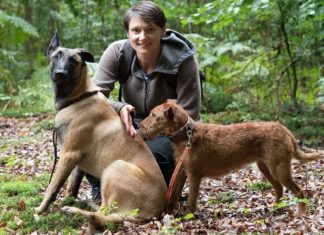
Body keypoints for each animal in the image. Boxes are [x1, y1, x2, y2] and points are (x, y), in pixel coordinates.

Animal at [36, 32, 167, 226]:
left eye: (73, 61)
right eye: (56, 56)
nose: (60, 74)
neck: (78, 97)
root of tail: (153, 212)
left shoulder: (69, 154)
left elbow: (52, 186)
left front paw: (40, 210)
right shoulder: (76, 160)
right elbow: (71, 186)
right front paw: (69, 199)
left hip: (114, 168)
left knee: (103, 214)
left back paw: (75, 210)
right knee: (103, 211)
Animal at [139, 100, 324, 216]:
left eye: (153, 115)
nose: (139, 126)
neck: (187, 135)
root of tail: (286, 131)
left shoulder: (194, 176)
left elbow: (191, 201)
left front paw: (187, 218)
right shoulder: (181, 172)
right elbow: (173, 196)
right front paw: (169, 215)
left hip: (279, 169)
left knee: (299, 191)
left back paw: (301, 214)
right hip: (266, 167)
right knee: (279, 189)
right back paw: (274, 209)